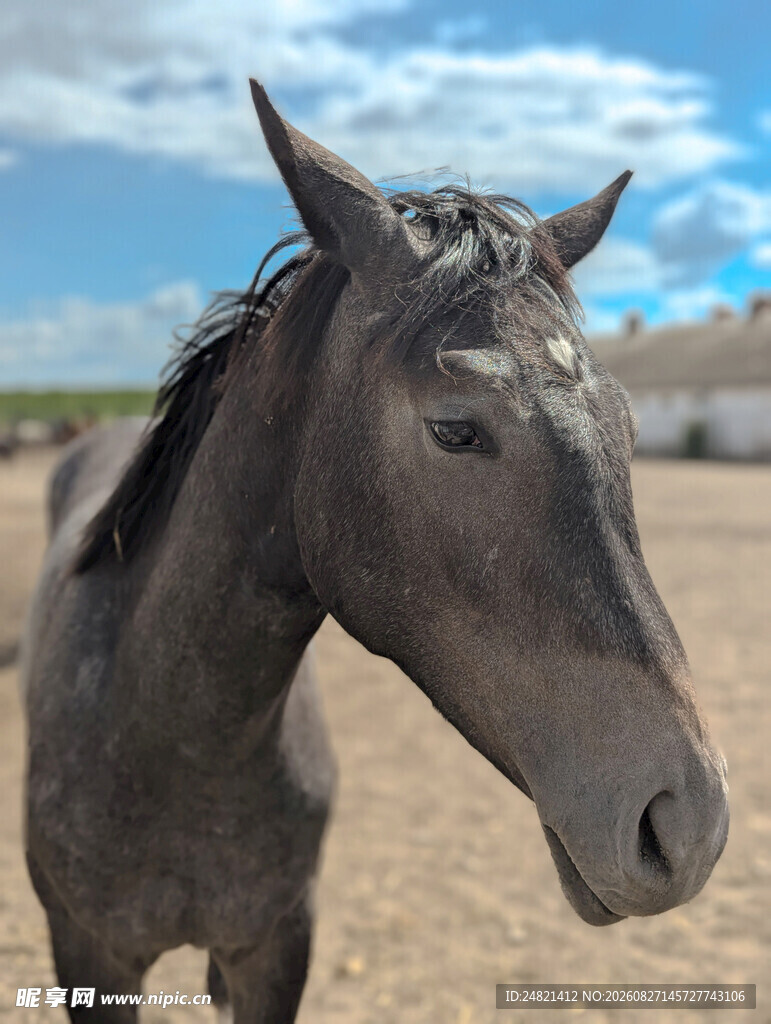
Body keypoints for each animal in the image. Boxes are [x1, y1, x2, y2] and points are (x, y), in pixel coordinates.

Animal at [21, 80, 729, 1022]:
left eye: (629, 426)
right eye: (455, 429)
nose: (688, 826)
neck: (165, 737)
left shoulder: (276, 947)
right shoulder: (91, 955)